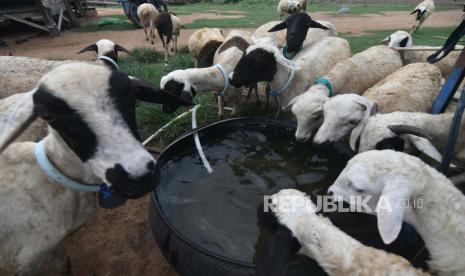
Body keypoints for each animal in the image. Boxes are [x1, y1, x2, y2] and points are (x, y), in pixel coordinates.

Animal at [0, 62, 192, 274]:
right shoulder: (23, 263)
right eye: (47, 115)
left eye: (133, 96)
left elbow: (63, 263)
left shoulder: (49, 248)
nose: (139, 178)